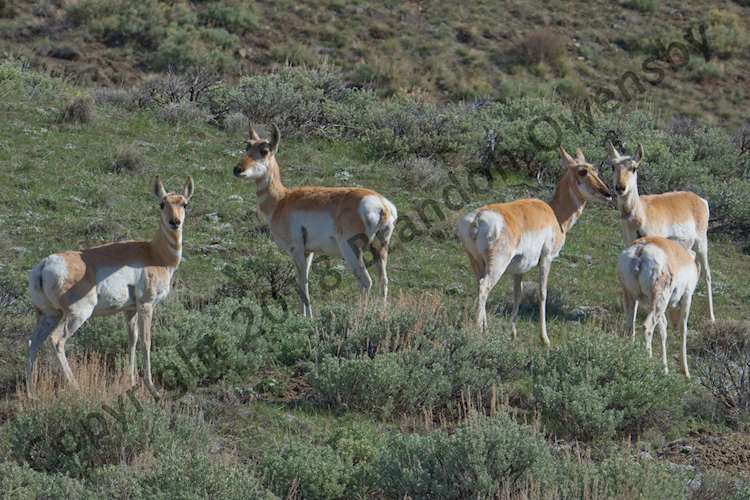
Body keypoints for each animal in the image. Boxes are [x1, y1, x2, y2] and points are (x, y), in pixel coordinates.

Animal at [27, 176, 194, 394]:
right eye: (162, 203)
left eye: (184, 204)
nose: (175, 222)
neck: (154, 253)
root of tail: (45, 263)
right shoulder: (146, 305)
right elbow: (146, 341)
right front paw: (152, 389)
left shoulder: (130, 310)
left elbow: (132, 340)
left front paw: (131, 381)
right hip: (76, 314)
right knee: (57, 341)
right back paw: (76, 386)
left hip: (49, 315)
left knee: (33, 342)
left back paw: (30, 393)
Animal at [234, 125, 400, 316]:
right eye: (247, 146)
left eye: (264, 150)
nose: (237, 169)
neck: (282, 200)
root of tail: (381, 204)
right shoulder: (309, 252)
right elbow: (303, 280)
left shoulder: (297, 250)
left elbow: (302, 282)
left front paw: (307, 318)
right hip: (379, 250)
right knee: (383, 280)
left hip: (351, 251)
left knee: (366, 281)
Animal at [458, 146, 616, 346]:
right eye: (582, 171)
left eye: (596, 169)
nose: (608, 193)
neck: (554, 213)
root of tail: (477, 219)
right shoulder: (547, 259)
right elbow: (542, 293)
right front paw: (545, 339)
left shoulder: (518, 270)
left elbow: (518, 294)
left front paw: (513, 334)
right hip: (497, 265)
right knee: (484, 287)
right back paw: (480, 331)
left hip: (477, 264)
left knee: (479, 286)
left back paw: (484, 328)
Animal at [604, 141, 716, 320]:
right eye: (613, 166)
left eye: (634, 168)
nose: (620, 187)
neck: (640, 212)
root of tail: (699, 199)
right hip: (688, 247)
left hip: (701, 243)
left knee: (707, 273)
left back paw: (711, 317)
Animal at [620, 236, 704, 376]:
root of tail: (641, 249)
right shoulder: (687, 298)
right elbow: (683, 329)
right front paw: (686, 372)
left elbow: (663, 330)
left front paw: (665, 369)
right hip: (659, 302)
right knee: (647, 327)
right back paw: (647, 362)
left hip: (633, 298)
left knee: (630, 325)